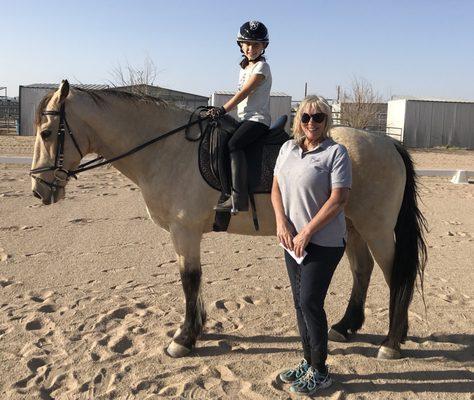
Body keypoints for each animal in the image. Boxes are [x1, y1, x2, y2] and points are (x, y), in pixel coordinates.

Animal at [31, 80, 428, 360]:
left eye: (48, 133)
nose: (38, 190)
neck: (166, 150)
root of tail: (388, 144)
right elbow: (192, 281)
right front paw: (197, 329)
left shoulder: (184, 231)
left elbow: (189, 280)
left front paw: (184, 338)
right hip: (352, 225)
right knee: (362, 270)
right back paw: (346, 327)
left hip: (377, 229)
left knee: (396, 277)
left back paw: (392, 343)